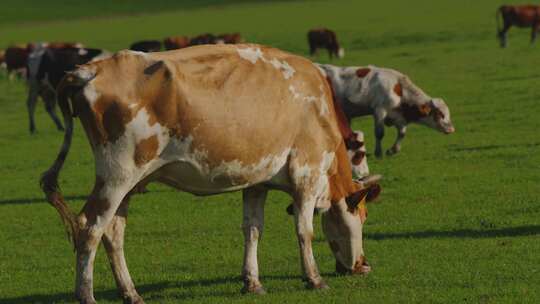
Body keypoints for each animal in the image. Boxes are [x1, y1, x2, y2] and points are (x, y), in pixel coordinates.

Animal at [42, 44, 378, 302]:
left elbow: (252, 229)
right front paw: (314, 278)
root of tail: (90, 70)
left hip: (129, 182)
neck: (318, 107)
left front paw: (252, 282)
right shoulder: (307, 173)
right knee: (90, 227)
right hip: (117, 175)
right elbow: (304, 230)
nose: (363, 265)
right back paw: (86, 295)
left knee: (113, 231)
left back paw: (130, 293)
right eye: (361, 217)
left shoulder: (257, 181)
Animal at [318, 64, 454, 159]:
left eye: (448, 114)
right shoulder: (379, 110)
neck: (398, 88)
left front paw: (392, 150)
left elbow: (402, 133)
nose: (451, 129)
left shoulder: (398, 116)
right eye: (440, 114)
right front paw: (378, 153)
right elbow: (380, 133)